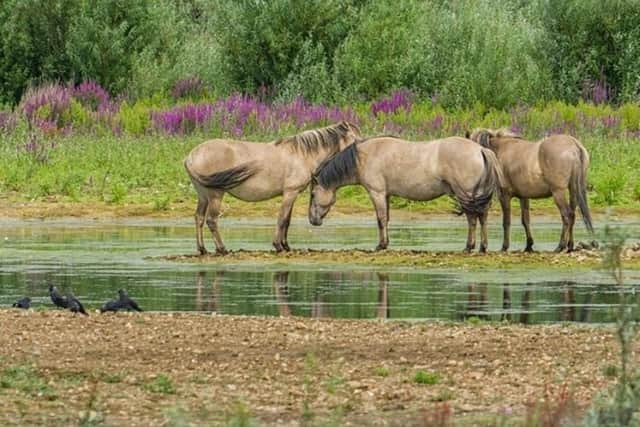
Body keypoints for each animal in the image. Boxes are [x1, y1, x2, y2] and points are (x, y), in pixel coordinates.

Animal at [186, 120, 364, 254]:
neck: (303, 154)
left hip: (203, 196)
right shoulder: (290, 193)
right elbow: (282, 218)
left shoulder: (292, 194)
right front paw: (278, 246)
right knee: (211, 220)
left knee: (199, 218)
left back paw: (202, 249)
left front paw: (286, 246)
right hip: (215, 195)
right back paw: (222, 249)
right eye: (356, 139)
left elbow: (287, 221)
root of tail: (190, 157)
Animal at [308, 135, 502, 252]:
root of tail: (480, 149)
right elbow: (386, 219)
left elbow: (380, 219)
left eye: (312, 195)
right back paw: (482, 247)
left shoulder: (377, 193)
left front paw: (380, 245)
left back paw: (469, 246)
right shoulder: (386, 195)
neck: (364, 157)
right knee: (482, 217)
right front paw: (385, 244)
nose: (312, 220)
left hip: (466, 195)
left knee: (472, 219)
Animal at [464, 129, 596, 252]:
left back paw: (560, 246)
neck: (500, 151)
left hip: (558, 192)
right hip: (573, 191)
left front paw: (504, 247)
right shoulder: (524, 196)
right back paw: (570, 246)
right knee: (573, 215)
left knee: (567, 215)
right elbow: (525, 220)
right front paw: (529, 245)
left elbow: (506, 222)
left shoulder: (504, 195)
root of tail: (574, 145)